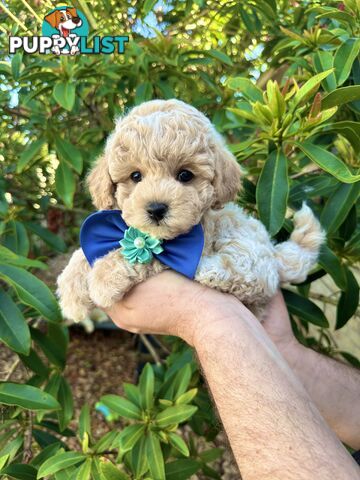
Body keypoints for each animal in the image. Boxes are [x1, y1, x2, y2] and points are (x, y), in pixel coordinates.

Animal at [57, 99, 324, 320]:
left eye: (185, 175)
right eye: (135, 176)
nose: (156, 209)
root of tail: (275, 253)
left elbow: (141, 256)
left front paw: (104, 279)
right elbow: (82, 255)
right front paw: (71, 290)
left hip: (248, 248)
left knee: (251, 277)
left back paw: (208, 270)